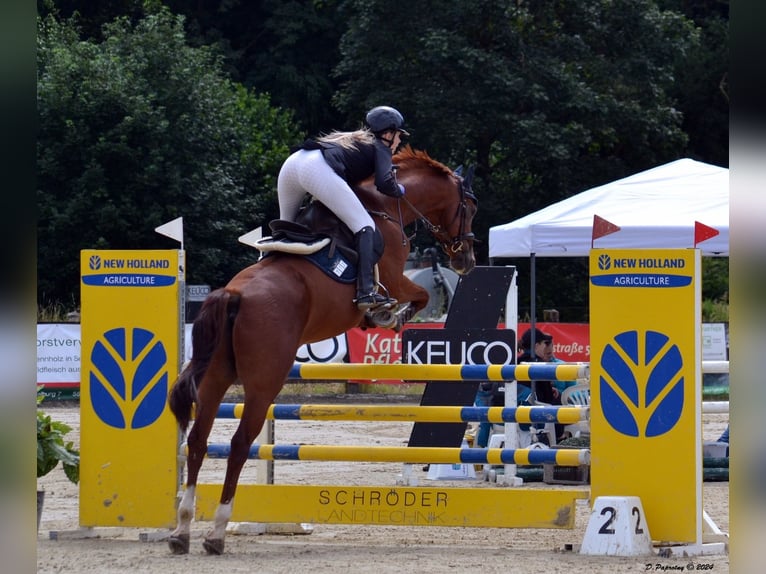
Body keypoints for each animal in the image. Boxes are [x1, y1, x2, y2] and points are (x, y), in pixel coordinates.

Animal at [169, 146, 480, 556]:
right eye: (470, 207)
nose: (466, 261)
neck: (386, 206)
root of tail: (233, 293)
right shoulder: (396, 277)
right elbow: (419, 296)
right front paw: (388, 315)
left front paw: (386, 316)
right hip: (264, 383)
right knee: (238, 444)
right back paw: (216, 532)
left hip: (217, 376)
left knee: (198, 440)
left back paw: (181, 530)